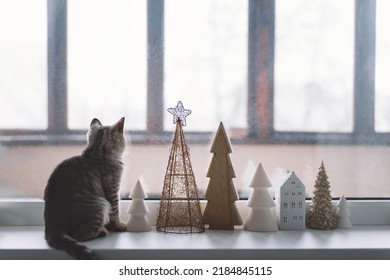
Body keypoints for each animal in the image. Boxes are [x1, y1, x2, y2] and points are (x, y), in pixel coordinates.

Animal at [44, 117, 126, 260]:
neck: (95, 153)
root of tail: (54, 228)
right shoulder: (113, 190)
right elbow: (115, 212)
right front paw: (119, 226)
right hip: (100, 204)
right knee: (81, 235)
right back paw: (101, 231)